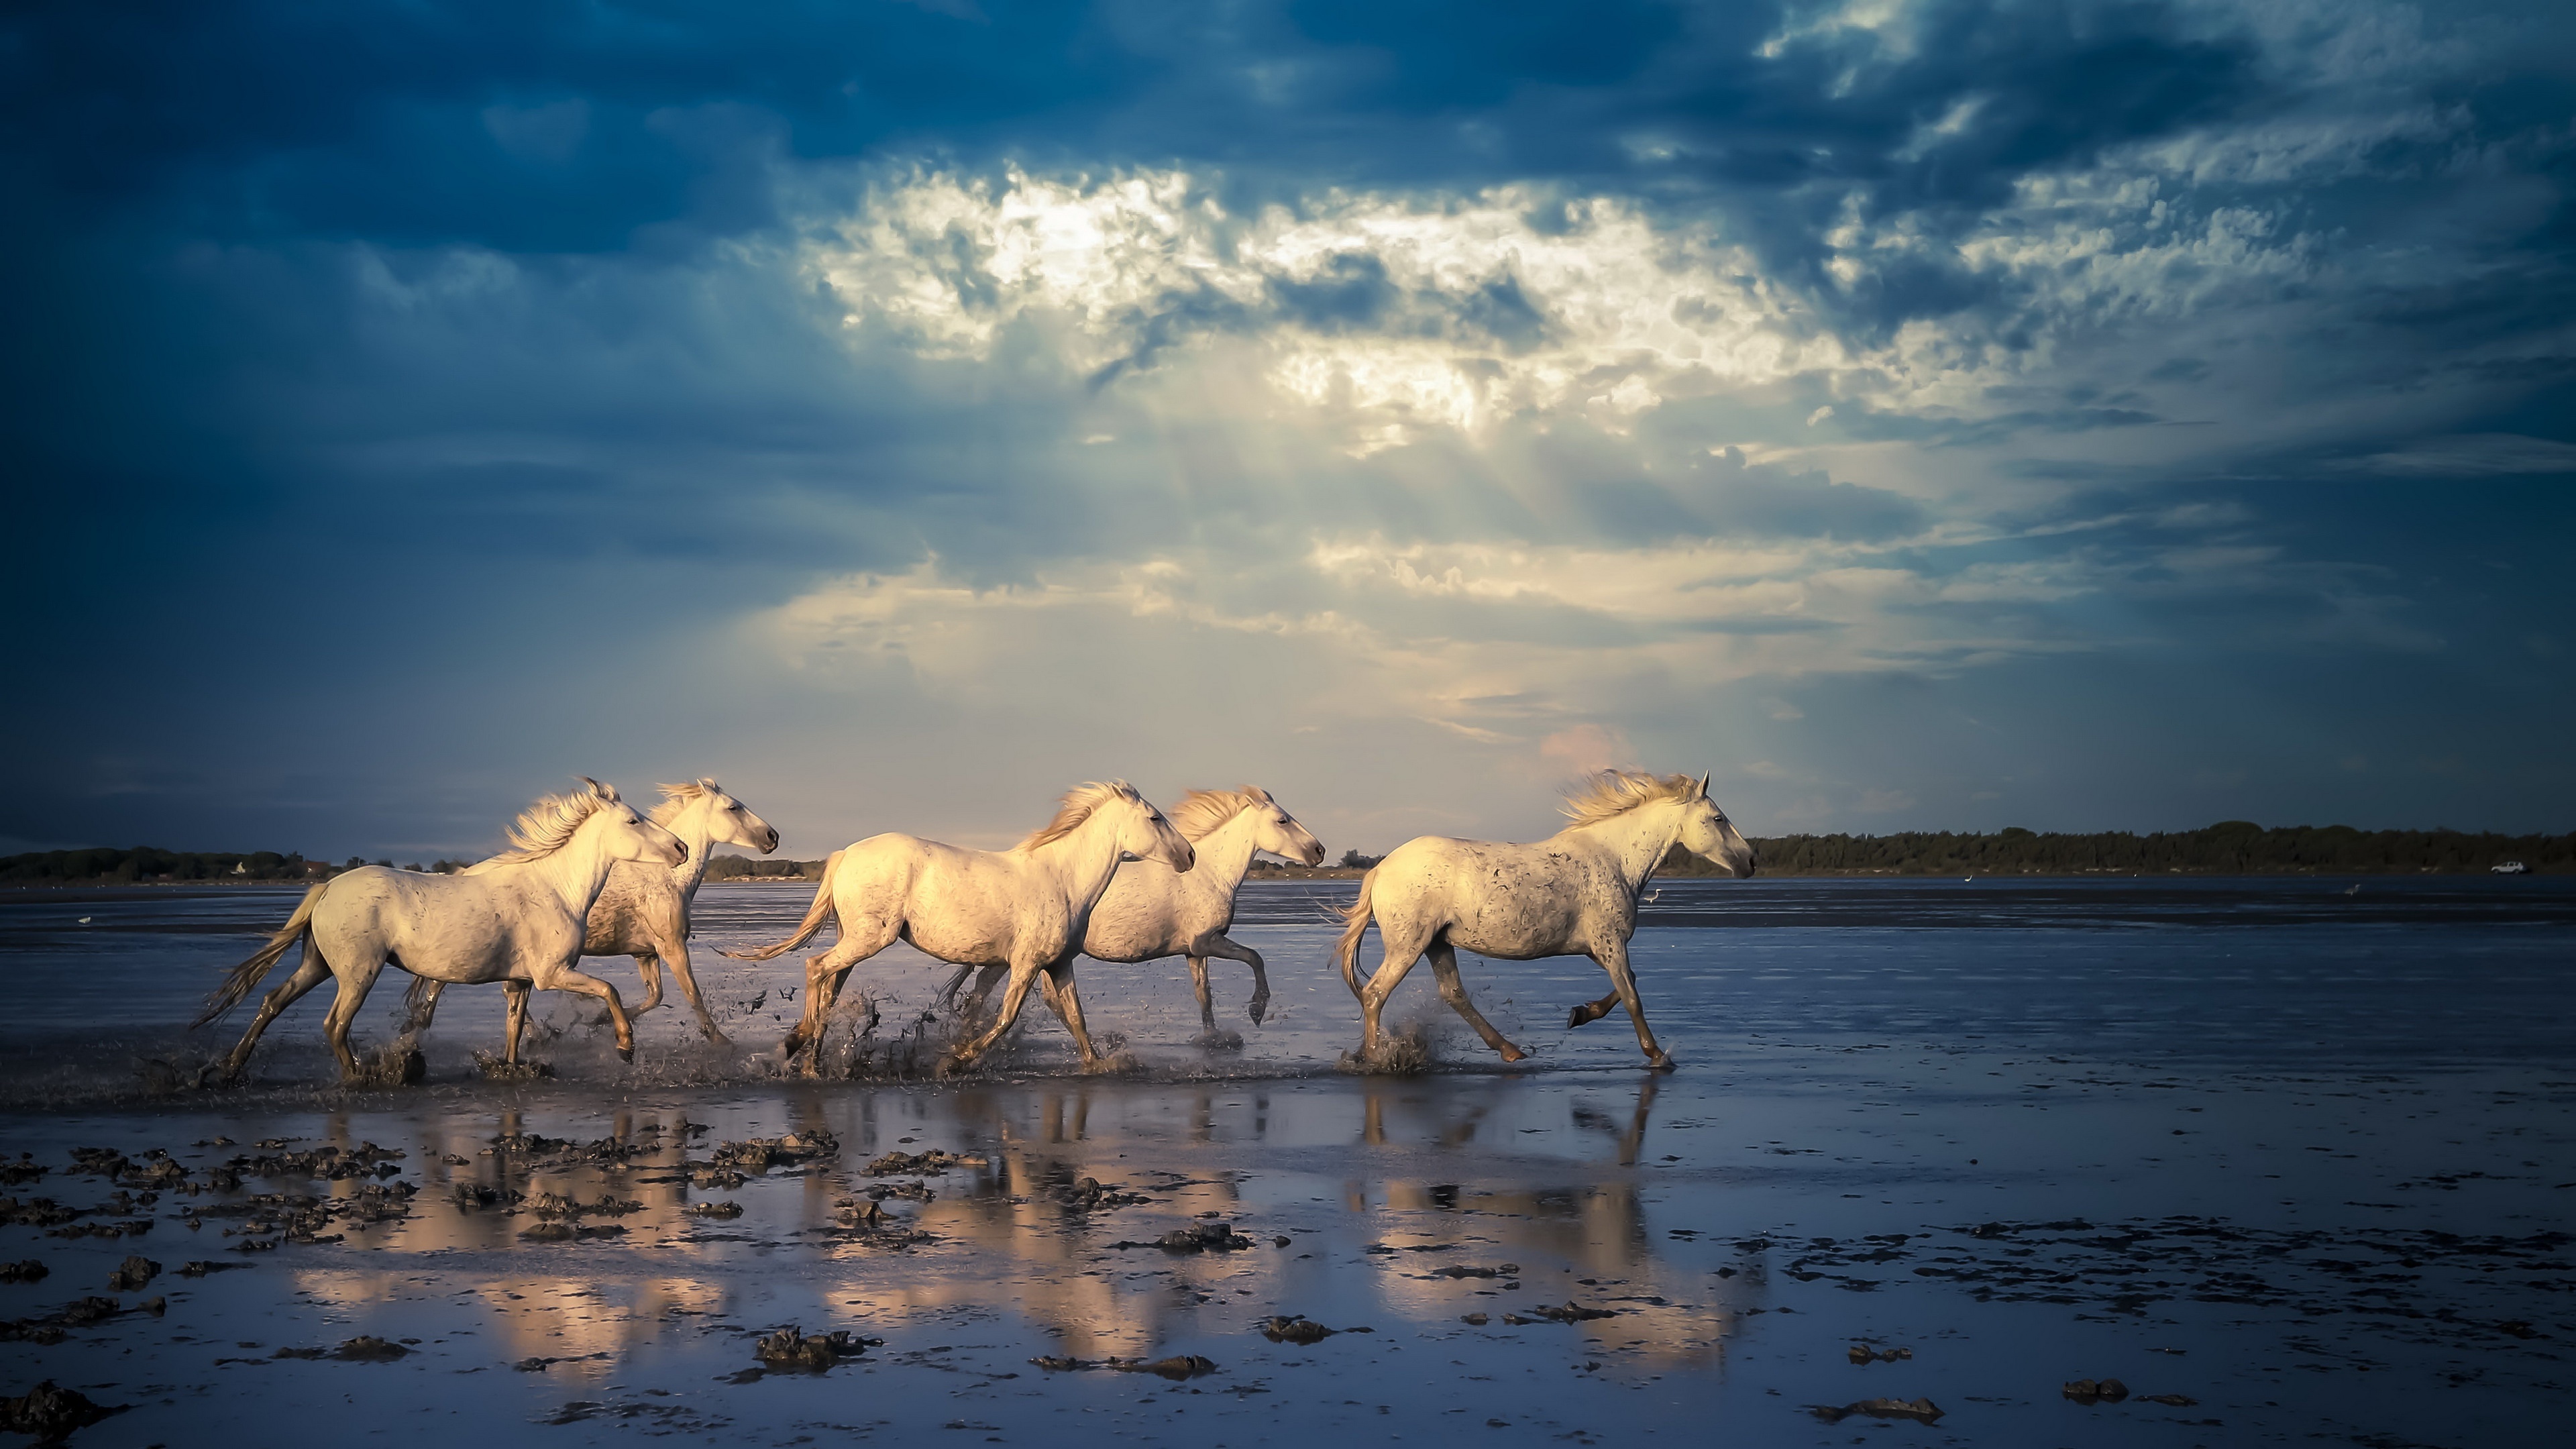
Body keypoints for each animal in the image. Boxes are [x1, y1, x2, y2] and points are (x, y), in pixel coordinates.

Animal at [193, 779, 688, 1082]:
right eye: (632, 820)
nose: (682, 848)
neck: (554, 888)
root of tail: (328, 886)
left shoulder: (521, 982)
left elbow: (514, 1029)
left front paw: (509, 1069)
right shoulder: (553, 974)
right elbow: (610, 990)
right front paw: (625, 1047)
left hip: (317, 965)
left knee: (272, 1001)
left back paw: (229, 1070)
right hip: (357, 973)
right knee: (334, 1024)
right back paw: (359, 1077)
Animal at [402, 778, 779, 1046]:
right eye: (734, 807)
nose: (772, 836)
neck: (666, 877)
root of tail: (465, 872)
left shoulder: (645, 953)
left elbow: (654, 997)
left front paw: (601, 1022)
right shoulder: (672, 946)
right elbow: (693, 996)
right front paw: (722, 1042)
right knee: (443, 984)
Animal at [724, 781, 1195, 1075]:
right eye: (1155, 819)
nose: (1189, 856)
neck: (1061, 880)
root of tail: (845, 854)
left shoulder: (1058, 964)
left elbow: (1076, 1020)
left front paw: (1098, 1065)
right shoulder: (1025, 964)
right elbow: (1005, 1017)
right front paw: (955, 1060)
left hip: (856, 940)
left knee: (830, 984)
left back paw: (812, 1060)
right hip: (869, 938)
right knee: (816, 967)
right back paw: (797, 1045)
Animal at [940, 785, 1326, 1038]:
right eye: (1282, 821)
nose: (1319, 851)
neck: (1211, 873)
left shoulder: (1193, 952)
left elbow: (1204, 996)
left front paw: (1214, 1039)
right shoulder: (1206, 942)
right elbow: (1254, 958)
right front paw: (1257, 1011)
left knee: (982, 990)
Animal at [1334, 770, 1754, 1069]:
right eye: (1718, 818)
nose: (1750, 862)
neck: (1615, 860)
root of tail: (1381, 868)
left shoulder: (1598, 948)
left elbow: (1627, 986)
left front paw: (1580, 1014)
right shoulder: (1611, 943)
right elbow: (1633, 998)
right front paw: (1657, 1055)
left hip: (1438, 943)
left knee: (1452, 994)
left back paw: (1510, 1050)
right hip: (1409, 945)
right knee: (1375, 994)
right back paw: (1374, 1058)